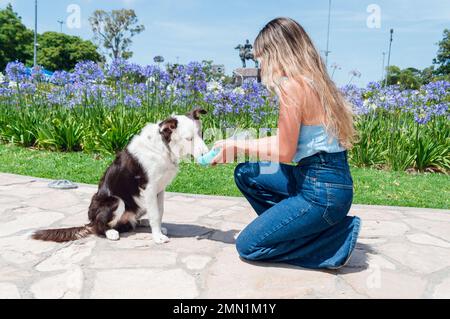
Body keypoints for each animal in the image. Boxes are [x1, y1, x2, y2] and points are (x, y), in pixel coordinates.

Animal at [32, 109, 210, 244]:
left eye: (201, 134)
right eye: (189, 139)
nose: (206, 154)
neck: (164, 147)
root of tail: (89, 222)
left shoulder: (160, 190)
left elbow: (159, 213)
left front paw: (158, 230)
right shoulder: (149, 188)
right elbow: (155, 214)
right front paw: (158, 237)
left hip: (137, 202)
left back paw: (141, 223)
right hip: (116, 201)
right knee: (99, 227)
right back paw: (110, 232)